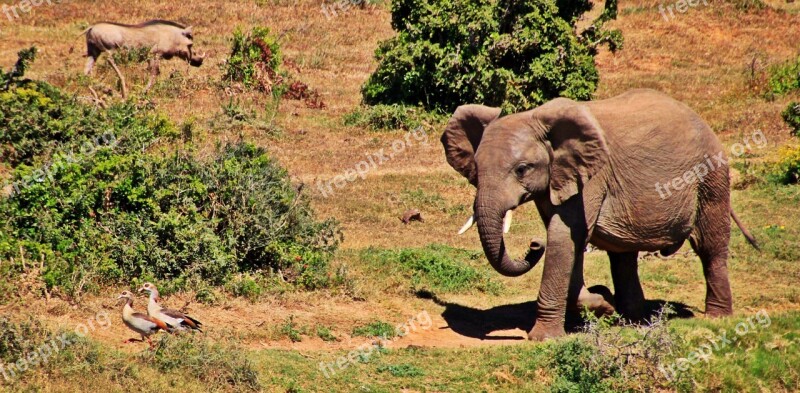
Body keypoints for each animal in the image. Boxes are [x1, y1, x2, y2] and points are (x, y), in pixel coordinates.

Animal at [440, 89, 760, 340]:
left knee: (710, 247)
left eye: (521, 169)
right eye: (477, 169)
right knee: (624, 255)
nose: (533, 245)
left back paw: (717, 318)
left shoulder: (593, 176)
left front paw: (544, 336)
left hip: (711, 176)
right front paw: (604, 304)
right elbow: (570, 242)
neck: (540, 119)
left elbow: (564, 238)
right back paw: (634, 320)